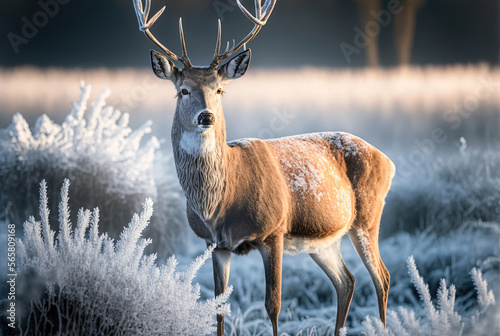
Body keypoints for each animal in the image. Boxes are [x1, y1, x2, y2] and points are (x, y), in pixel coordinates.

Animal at [132, 1, 394, 334]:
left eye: (220, 90)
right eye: (183, 90)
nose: (206, 117)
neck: (220, 204)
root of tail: (388, 160)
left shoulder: (274, 231)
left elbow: (273, 305)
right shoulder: (214, 244)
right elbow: (219, 307)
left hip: (368, 217)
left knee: (382, 277)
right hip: (324, 240)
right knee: (346, 281)